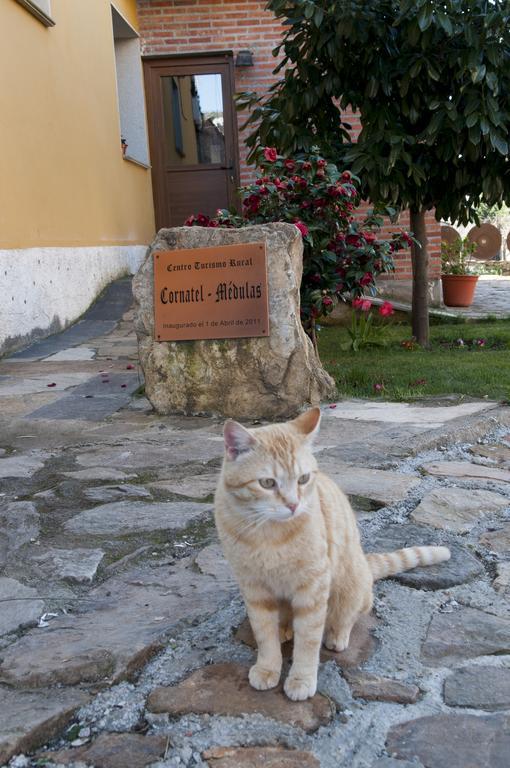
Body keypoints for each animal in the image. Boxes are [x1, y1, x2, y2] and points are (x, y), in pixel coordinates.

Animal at [215, 408, 450, 704]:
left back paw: (337, 634)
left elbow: (308, 641)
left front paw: (301, 679)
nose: (293, 505)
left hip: (350, 586)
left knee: (352, 613)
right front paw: (268, 667)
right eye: (267, 483)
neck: (268, 534)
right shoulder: (254, 588)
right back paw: (284, 629)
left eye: (303, 479)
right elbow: (263, 634)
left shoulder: (313, 588)